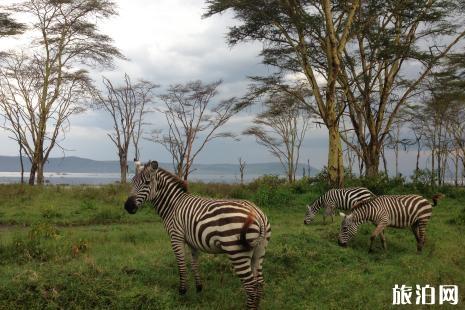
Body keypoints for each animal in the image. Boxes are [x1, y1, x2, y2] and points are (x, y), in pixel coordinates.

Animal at [123, 161, 270, 308]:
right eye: (132, 181)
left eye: (147, 182)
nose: (128, 207)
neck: (173, 205)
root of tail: (257, 213)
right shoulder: (192, 241)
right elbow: (194, 264)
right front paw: (199, 288)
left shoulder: (176, 237)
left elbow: (181, 265)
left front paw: (182, 291)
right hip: (259, 250)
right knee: (259, 282)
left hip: (236, 251)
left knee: (251, 285)